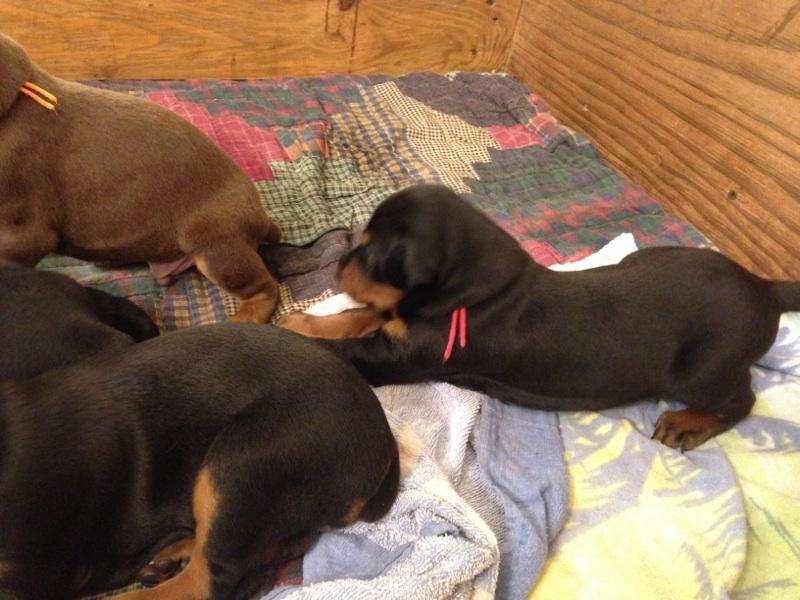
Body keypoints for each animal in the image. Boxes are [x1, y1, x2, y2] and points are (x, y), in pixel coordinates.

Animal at [280, 183, 800, 450]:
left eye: (372, 256)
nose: (339, 263)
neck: (477, 289)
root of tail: (764, 286)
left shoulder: (403, 353)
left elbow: (345, 346)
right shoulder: (399, 324)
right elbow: (352, 319)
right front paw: (300, 322)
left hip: (704, 369)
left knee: (743, 399)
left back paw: (688, 423)